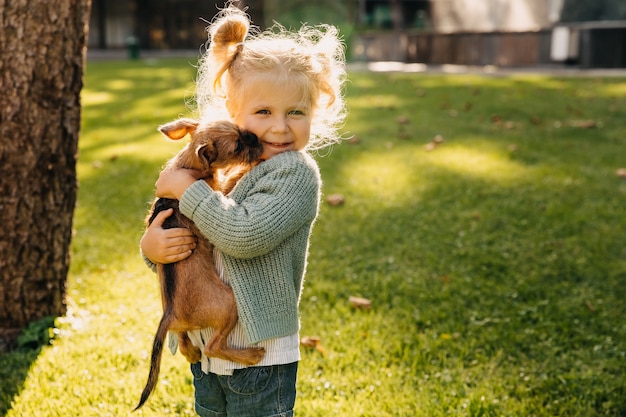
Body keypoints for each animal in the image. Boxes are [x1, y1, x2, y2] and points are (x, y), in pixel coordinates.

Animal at [134, 118, 264, 410]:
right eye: (238, 146)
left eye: (241, 129)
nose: (259, 143)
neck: (190, 167)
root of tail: (170, 313)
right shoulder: (221, 193)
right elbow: (229, 180)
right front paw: (249, 167)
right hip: (230, 304)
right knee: (214, 346)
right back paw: (250, 355)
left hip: (178, 319)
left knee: (184, 338)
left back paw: (192, 351)